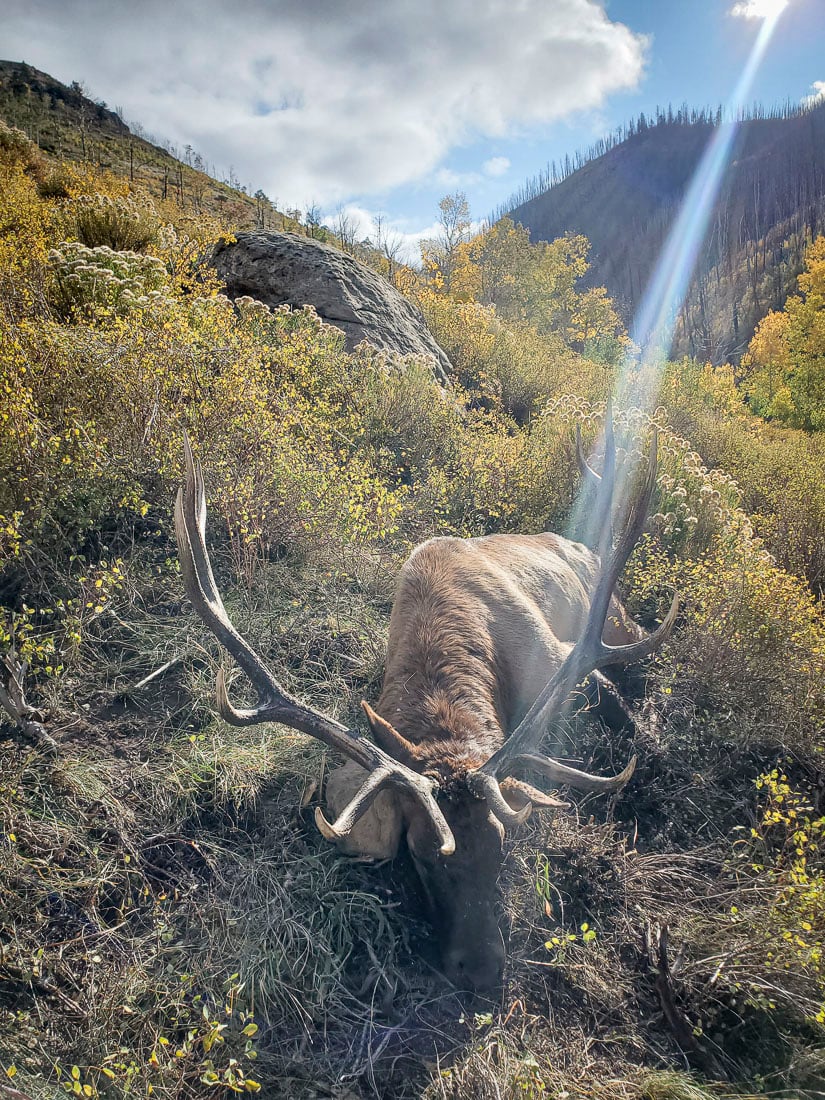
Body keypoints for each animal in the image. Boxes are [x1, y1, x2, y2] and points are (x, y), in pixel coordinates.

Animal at [174, 414, 678, 992]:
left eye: (502, 843)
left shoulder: (560, 656)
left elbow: (613, 704)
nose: (480, 970)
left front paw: (650, 748)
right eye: (418, 852)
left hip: (616, 616)